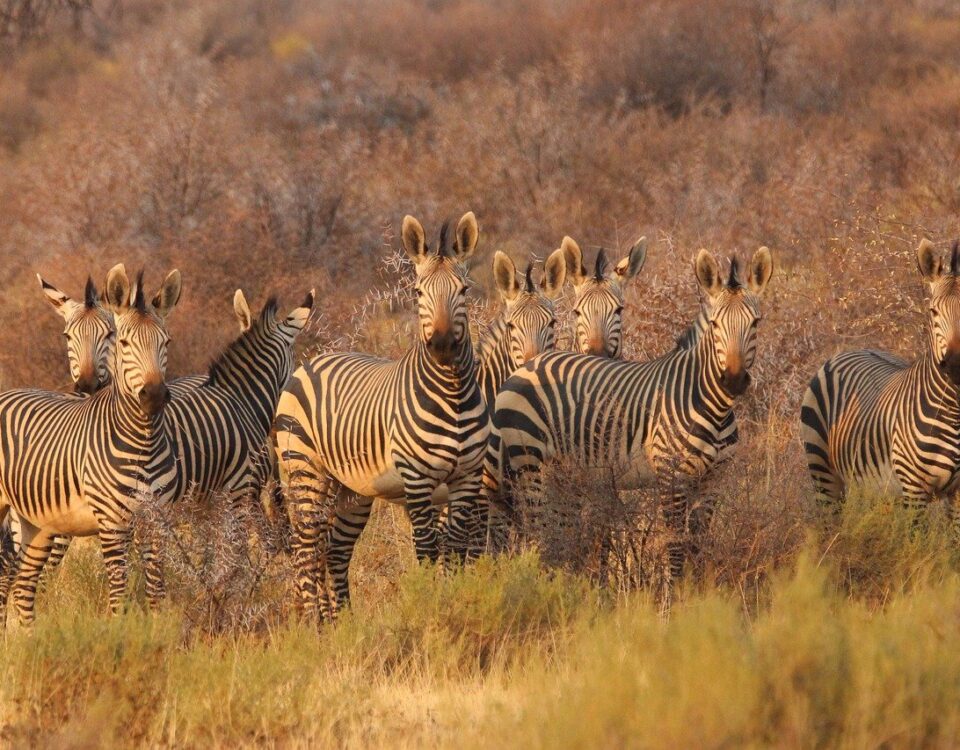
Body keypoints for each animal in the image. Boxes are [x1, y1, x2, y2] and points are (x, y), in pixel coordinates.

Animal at [0, 264, 182, 624]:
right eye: (124, 342)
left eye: (166, 341)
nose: (155, 395)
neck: (143, 441)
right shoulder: (112, 524)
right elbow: (119, 592)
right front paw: (119, 634)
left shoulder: (157, 520)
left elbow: (156, 592)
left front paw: (158, 634)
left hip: (37, 521)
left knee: (24, 584)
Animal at [276, 213, 488, 624]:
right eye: (419, 293)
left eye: (464, 290)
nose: (441, 345)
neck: (452, 394)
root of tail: (313, 361)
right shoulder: (418, 481)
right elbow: (427, 551)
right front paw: (430, 609)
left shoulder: (468, 478)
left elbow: (455, 550)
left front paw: (454, 602)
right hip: (304, 472)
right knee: (306, 551)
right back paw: (313, 627)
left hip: (351, 489)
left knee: (334, 552)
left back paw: (342, 625)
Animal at [322, 247, 568, 612]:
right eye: (512, 327)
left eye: (551, 323)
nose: (531, 373)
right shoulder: (479, 494)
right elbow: (474, 549)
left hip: (355, 491)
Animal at [484, 250, 776, 596]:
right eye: (717, 324)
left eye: (755, 323)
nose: (732, 379)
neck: (710, 403)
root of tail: (527, 366)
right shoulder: (671, 476)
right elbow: (675, 545)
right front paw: (672, 600)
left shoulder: (712, 481)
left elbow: (698, 544)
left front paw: (698, 595)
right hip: (530, 463)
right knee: (537, 529)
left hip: (562, 473)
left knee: (558, 531)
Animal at [800, 238, 960, 520]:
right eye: (933, 311)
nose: (954, 365)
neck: (952, 411)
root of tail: (856, 348)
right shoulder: (914, 490)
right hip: (823, 473)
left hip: (874, 485)